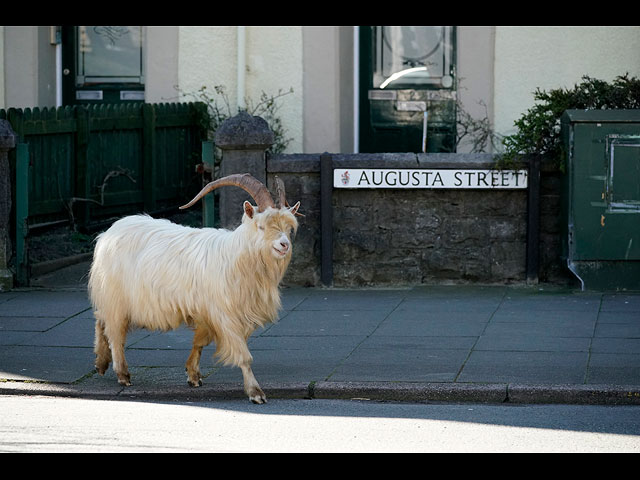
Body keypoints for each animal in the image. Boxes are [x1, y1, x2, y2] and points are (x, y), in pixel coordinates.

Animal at [86, 174, 302, 404]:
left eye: (289, 227)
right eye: (261, 226)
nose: (284, 245)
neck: (238, 258)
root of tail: (108, 232)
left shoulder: (209, 312)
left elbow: (200, 342)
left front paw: (193, 375)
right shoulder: (226, 316)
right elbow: (243, 355)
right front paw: (255, 392)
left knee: (101, 320)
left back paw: (101, 363)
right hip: (116, 295)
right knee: (114, 330)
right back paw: (122, 374)